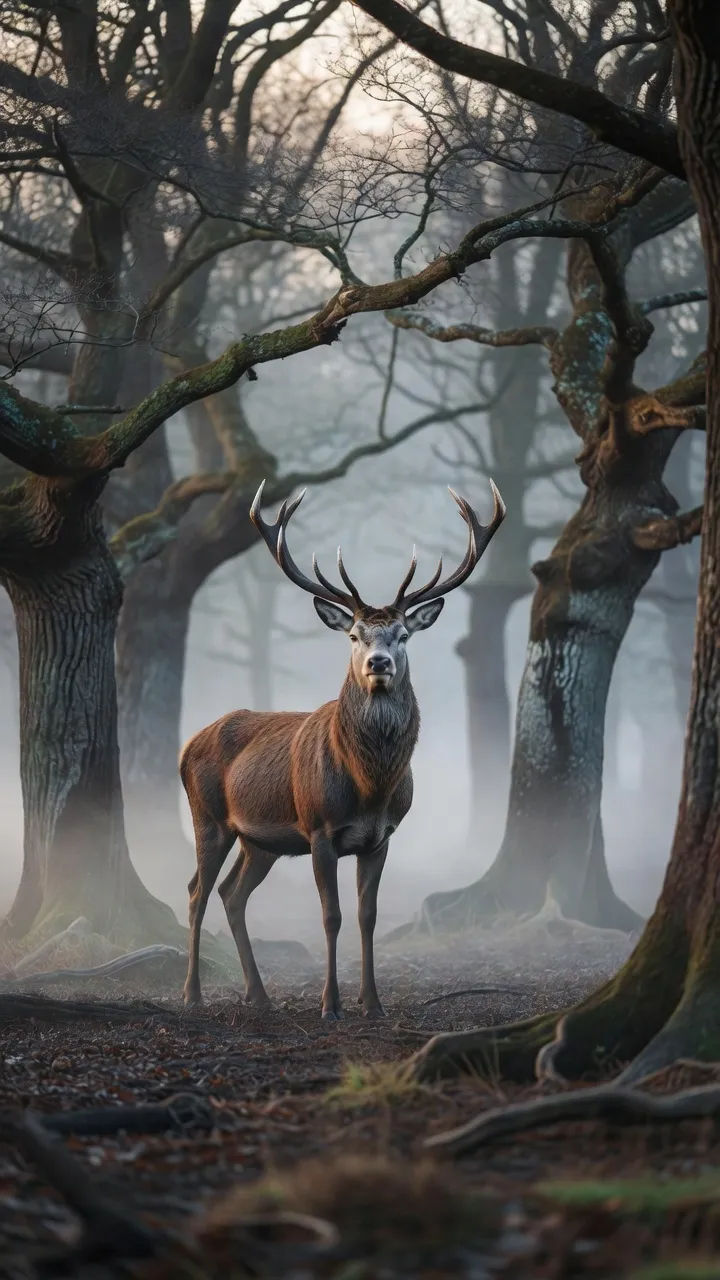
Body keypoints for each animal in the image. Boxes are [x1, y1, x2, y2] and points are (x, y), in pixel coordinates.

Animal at [181, 479, 505, 1020]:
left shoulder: (381, 837)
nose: (378, 663)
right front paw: (330, 1003)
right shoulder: (318, 829)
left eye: (402, 634)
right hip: (208, 817)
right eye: (354, 634)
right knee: (196, 892)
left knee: (232, 894)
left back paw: (258, 994)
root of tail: (186, 745)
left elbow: (366, 915)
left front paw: (371, 1002)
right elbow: (330, 915)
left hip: (260, 840)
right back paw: (192, 993)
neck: (370, 787)